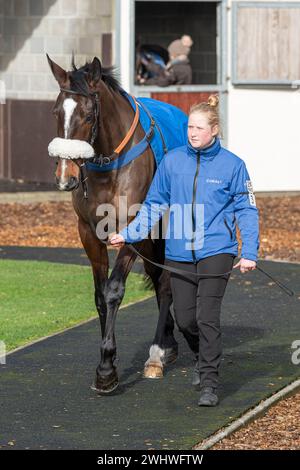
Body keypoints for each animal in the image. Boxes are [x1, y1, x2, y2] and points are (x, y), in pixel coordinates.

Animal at [46, 54, 180, 392]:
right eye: (56, 111)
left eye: (88, 114)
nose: (66, 177)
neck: (109, 168)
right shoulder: (88, 233)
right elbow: (98, 295)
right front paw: (109, 360)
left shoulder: (132, 229)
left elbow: (114, 290)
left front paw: (106, 368)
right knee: (156, 276)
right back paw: (169, 342)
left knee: (166, 281)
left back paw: (158, 352)